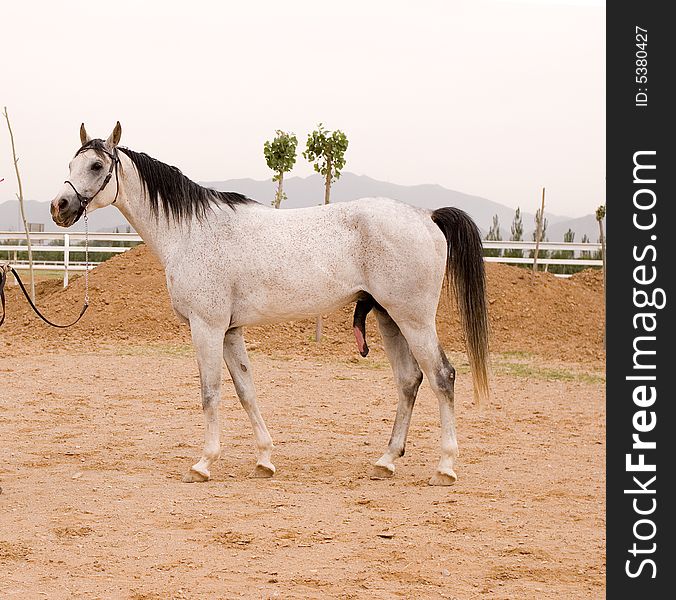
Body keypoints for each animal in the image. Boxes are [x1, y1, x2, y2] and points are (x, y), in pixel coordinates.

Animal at [50, 123, 488, 488]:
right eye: (70, 163)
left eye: (95, 164)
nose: (60, 206)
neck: (190, 231)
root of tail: (427, 216)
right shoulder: (230, 330)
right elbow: (246, 390)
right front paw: (264, 460)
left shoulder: (206, 327)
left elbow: (210, 392)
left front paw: (203, 464)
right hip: (388, 318)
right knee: (409, 380)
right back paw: (386, 460)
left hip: (414, 320)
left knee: (442, 376)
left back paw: (445, 467)